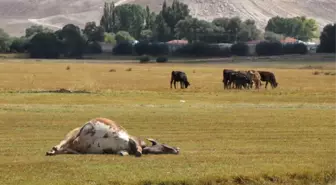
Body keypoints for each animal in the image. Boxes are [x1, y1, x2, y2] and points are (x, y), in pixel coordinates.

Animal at [46, 118, 181, 157]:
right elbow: (137, 148)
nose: (178, 149)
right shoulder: (132, 138)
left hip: (72, 146)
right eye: (165, 146)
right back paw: (52, 150)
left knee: (64, 149)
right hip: (71, 134)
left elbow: (123, 153)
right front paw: (138, 152)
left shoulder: (123, 149)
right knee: (60, 144)